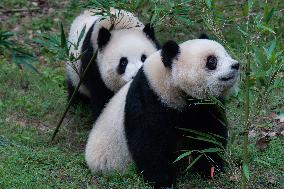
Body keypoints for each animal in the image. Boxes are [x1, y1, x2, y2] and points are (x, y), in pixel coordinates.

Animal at [85, 36, 240, 188]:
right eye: (212, 61)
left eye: (226, 54)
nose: (236, 65)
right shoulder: (149, 99)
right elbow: (149, 144)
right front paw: (163, 182)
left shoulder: (206, 107)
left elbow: (209, 137)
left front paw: (211, 170)